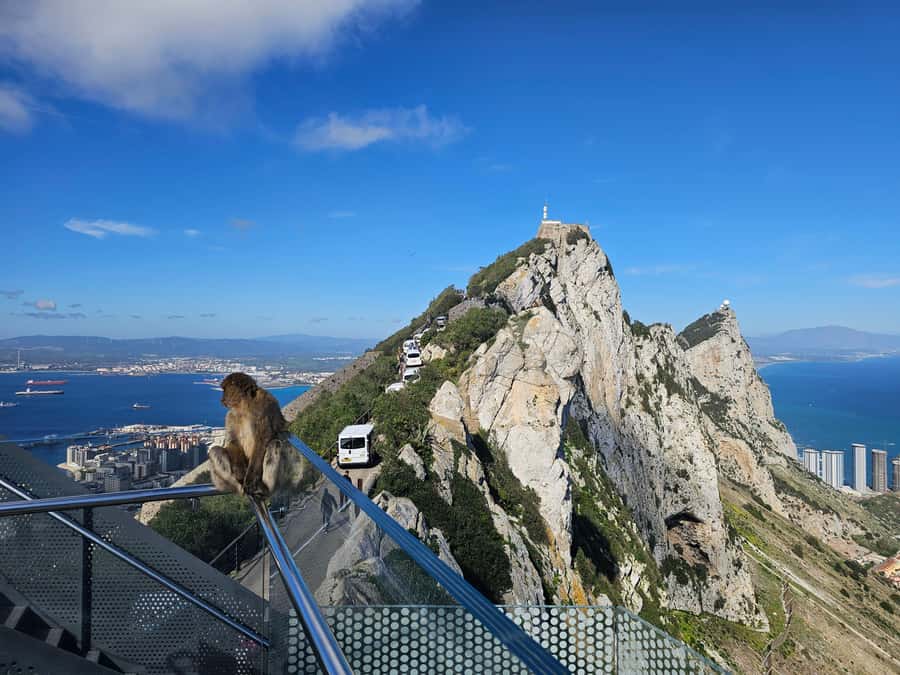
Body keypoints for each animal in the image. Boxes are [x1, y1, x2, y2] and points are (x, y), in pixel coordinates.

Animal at [208, 372, 304, 500]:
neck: (244, 407)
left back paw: (264, 489)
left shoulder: (264, 406)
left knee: (274, 445)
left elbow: (262, 440)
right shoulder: (230, 415)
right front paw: (239, 472)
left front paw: (250, 479)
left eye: (224, 390)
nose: (222, 399)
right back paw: (239, 484)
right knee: (215, 451)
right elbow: (233, 441)